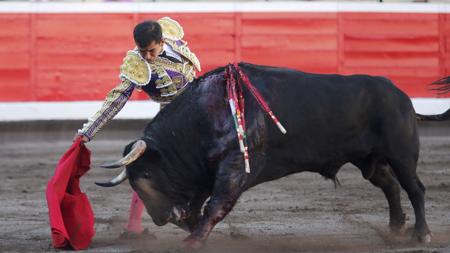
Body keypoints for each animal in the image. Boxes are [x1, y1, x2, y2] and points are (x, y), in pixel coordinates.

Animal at [96, 62, 450, 248]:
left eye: (145, 174)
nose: (159, 218)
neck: (203, 117)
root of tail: (402, 96)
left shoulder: (235, 168)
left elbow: (215, 205)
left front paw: (191, 242)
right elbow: (201, 206)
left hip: (402, 153)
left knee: (415, 188)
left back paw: (422, 234)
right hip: (367, 160)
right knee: (390, 185)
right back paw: (394, 229)